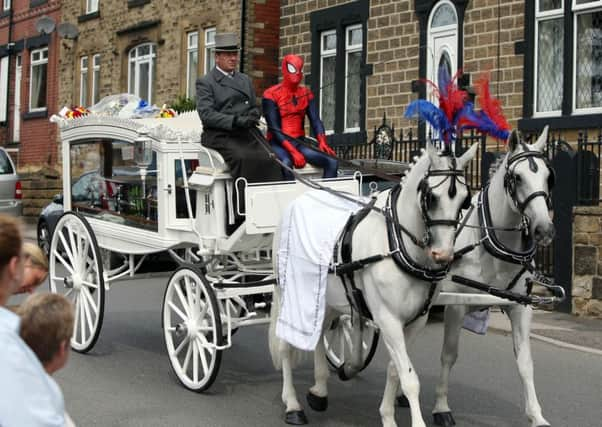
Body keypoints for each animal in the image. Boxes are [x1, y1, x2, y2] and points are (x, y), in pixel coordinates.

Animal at [268, 143, 478, 427]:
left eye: (465, 200)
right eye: (431, 197)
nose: (443, 255)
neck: (397, 243)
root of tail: (297, 201)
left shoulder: (414, 322)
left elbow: (396, 369)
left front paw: (387, 415)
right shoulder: (388, 318)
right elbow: (409, 379)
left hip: (326, 297)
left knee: (320, 333)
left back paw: (320, 389)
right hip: (286, 291)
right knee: (284, 346)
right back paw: (292, 403)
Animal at [426, 127, 552, 427]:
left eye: (548, 176)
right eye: (517, 178)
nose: (544, 229)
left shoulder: (520, 306)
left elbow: (525, 362)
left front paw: (536, 415)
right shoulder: (455, 305)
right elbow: (449, 354)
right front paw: (441, 407)